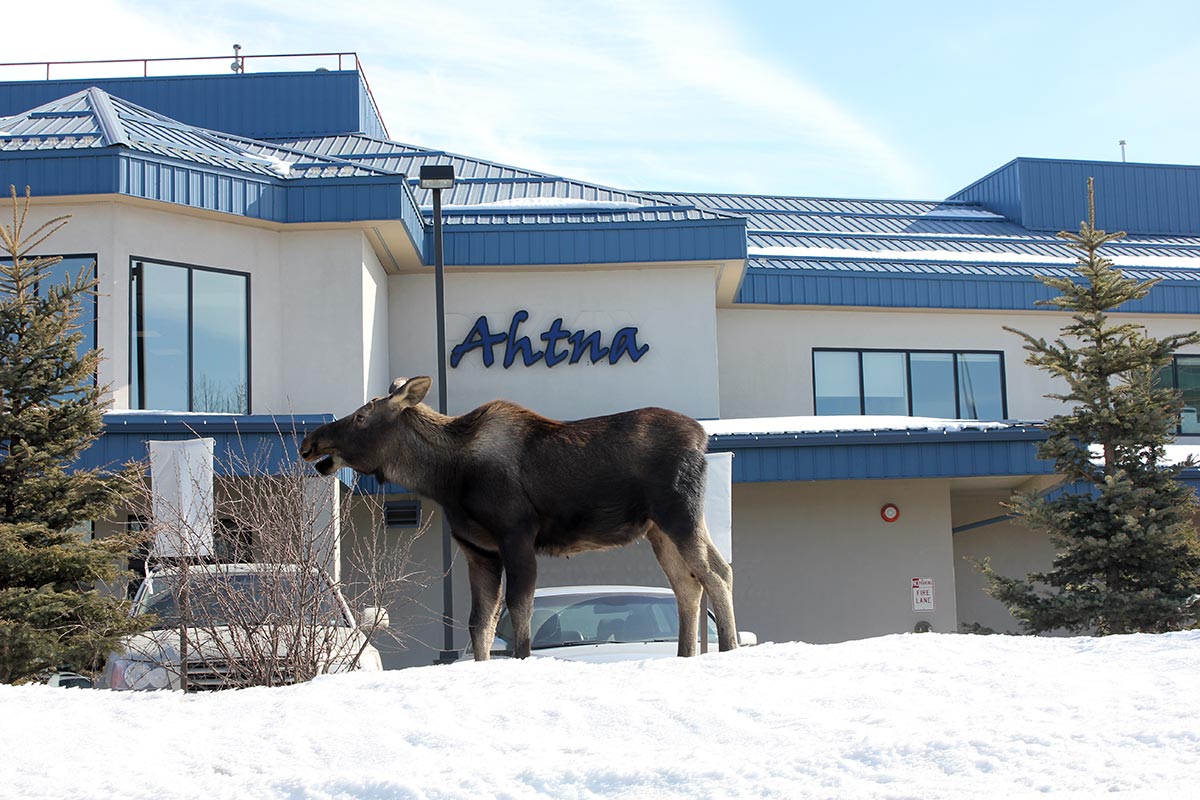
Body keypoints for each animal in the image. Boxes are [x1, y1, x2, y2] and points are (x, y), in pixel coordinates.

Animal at [295, 379, 734, 662]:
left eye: (361, 417)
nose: (308, 440)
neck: (445, 477)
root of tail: (703, 439)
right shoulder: (478, 550)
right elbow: (480, 625)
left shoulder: (516, 535)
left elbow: (519, 612)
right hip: (659, 528)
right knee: (690, 583)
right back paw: (686, 655)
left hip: (679, 513)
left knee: (716, 573)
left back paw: (728, 649)